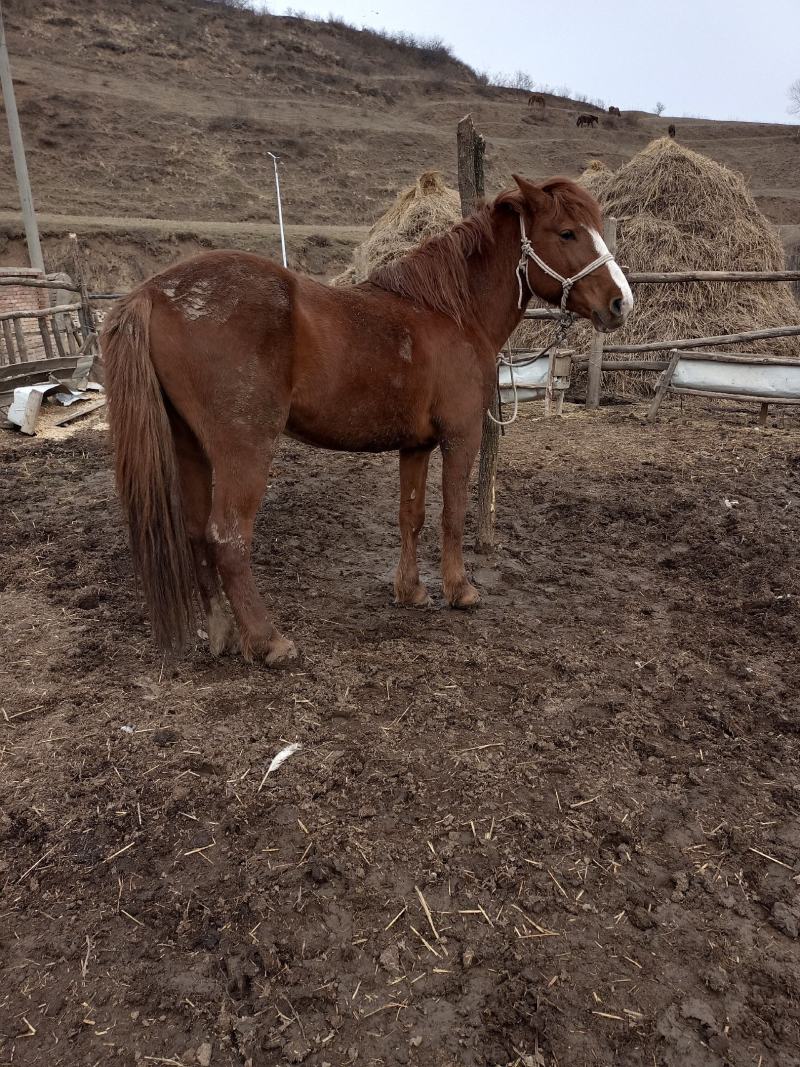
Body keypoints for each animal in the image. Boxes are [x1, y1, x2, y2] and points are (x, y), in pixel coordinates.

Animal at [101, 175, 633, 665]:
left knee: (195, 532)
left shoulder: (416, 445)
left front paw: (411, 591)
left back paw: (222, 636)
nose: (620, 302)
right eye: (567, 232)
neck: (451, 313)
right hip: (243, 450)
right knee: (227, 538)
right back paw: (268, 641)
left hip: (189, 445)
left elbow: (411, 517)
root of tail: (152, 292)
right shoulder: (460, 436)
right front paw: (460, 591)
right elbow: (452, 513)